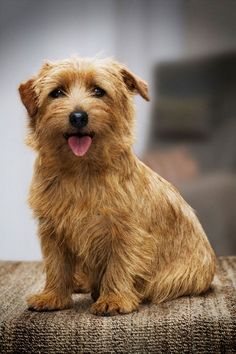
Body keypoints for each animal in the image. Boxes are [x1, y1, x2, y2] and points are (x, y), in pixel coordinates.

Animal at [18, 57, 216, 316]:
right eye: (57, 92)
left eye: (98, 91)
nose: (78, 116)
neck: (81, 172)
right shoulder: (53, 230)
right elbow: (56, 265)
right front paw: (52, 296)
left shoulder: (126, 232)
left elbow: (119, 264)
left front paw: (113, 299)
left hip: (170, 279)